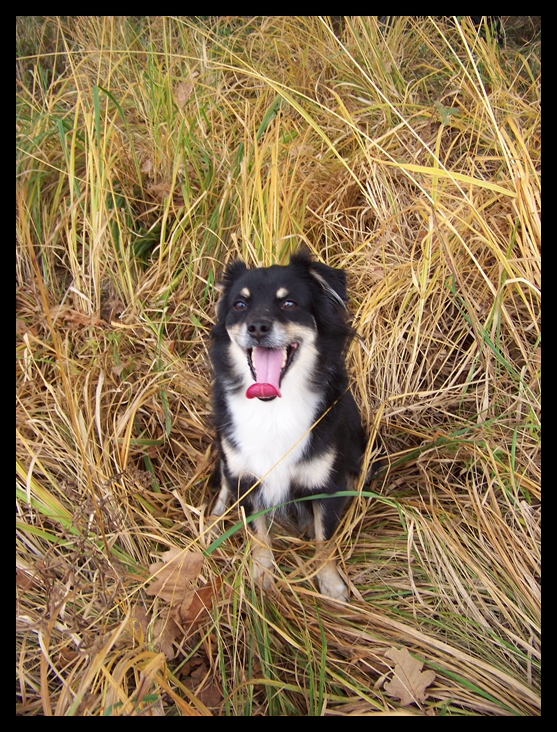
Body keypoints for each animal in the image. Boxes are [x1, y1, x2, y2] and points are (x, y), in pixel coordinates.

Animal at [208, 252, 364, 600]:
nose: (257, 326)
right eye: (240, 304)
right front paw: (262, 573)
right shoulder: (245, 478)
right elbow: (257, 533)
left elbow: (325, 540)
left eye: (289, 303)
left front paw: (331, 584)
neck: (273, 408)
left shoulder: (328, 484)